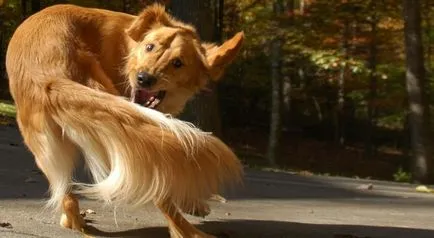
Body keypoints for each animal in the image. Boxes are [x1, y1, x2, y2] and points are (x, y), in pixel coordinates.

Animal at [5, 2, 244, 237]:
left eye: (178, 63)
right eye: (150, 47)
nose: (143, 78)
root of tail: (47, 72)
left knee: (67, 195)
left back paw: (75, 222)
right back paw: (186, 230)